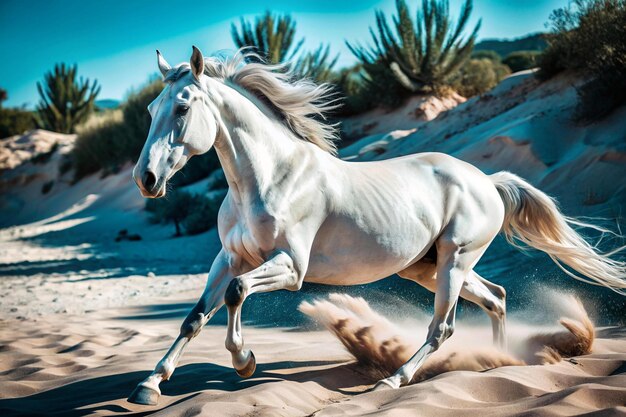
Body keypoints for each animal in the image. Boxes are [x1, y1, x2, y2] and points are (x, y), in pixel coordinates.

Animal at [125, 47, 620, 404]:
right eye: (150, 108)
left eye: (183, 108)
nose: (146, 179)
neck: (270, 178)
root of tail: (488, 181)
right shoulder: (229, 258)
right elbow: (195, 317)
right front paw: (149, 385)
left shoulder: (290, 268)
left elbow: (236, 293)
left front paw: (244, 360)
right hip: (428, 268)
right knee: (495, 298)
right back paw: (497, 361)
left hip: (454, 261)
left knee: (442, 328)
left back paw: (394, 381)